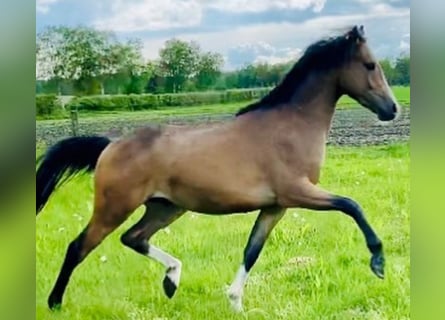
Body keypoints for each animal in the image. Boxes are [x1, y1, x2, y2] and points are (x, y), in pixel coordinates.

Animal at [36, 25, 400, 312]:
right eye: (370, 64)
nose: (392, 109)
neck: (291, 125)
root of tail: (110, 146)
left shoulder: (275, 207)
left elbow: (252, 251)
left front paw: (235, 302)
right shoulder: (298, 191)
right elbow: (351, 205)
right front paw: (378, 262)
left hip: (166, 208)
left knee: (134, 238)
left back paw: (172, 279)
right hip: (114, 207)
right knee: (79, 247)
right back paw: (54, 303)